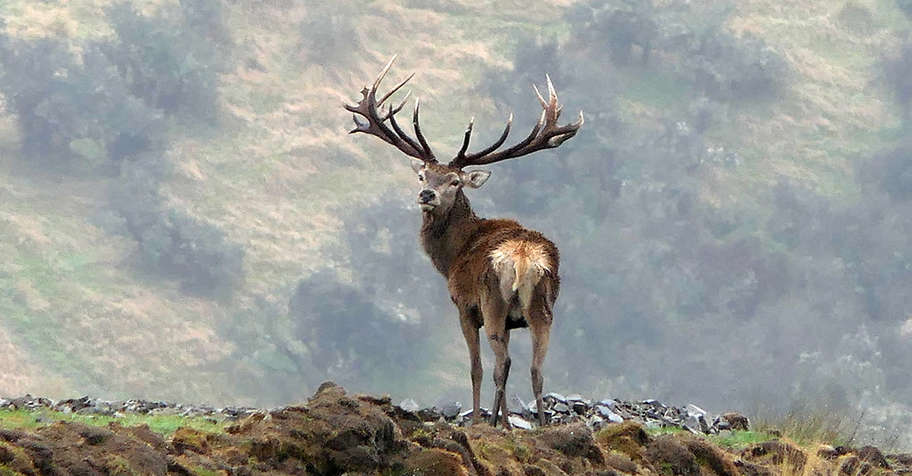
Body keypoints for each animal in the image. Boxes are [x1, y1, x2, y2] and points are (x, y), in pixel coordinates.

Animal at [344, 56, 583, 428]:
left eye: (455, 181)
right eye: (423, 175)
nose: (426, 195)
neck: (451, 256)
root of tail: (523, 258)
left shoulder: (464, 306)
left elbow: (475, 369)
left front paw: (482, 419)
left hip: (493, 301)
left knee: (501, 364)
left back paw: (491, 423)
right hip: (543, 307)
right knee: (535, 368)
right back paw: (539, 425)